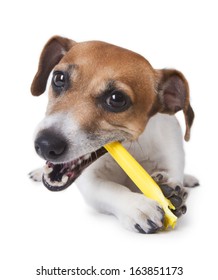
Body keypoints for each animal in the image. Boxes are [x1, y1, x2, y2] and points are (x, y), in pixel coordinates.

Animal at [28, 35, 198, 234]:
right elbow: (112, 189)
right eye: (59, 78)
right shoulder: (91, 182)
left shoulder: (171, 154)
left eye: (117, 99)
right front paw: (137, 206)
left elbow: (173, 176)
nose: (45, 144)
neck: (133, 148)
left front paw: (169, 190)